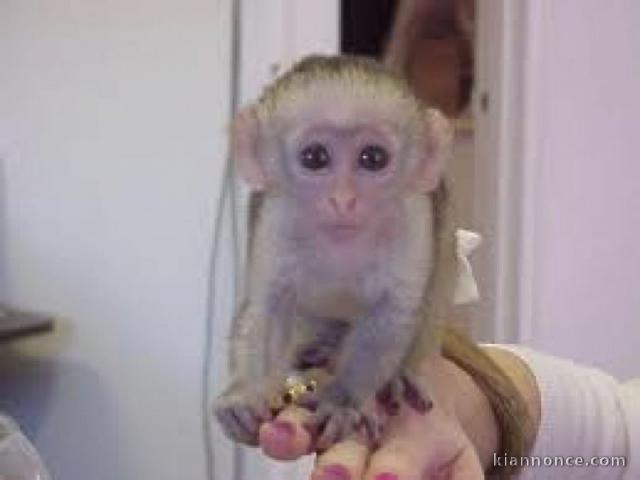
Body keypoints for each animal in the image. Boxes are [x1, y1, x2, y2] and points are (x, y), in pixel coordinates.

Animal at [213, 56, 533, 472]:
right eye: (315, 157)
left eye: (373, 158)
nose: (343, 200)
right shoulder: (276, 216)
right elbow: (268, 307)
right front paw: (247, 393)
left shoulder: (412, 216)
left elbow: (393, 312)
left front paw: (343, 401)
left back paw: (398, 375)